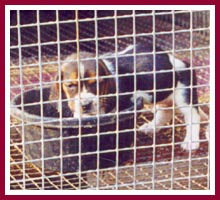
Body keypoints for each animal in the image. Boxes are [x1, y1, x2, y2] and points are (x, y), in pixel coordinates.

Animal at [49, 43, 203, 150]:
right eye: (70, 85)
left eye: (96, 83)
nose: (86, 105)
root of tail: (179, 61)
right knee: (165, 112)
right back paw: (151, 127)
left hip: (183, 93)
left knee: (193, 115)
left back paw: (191, 141)